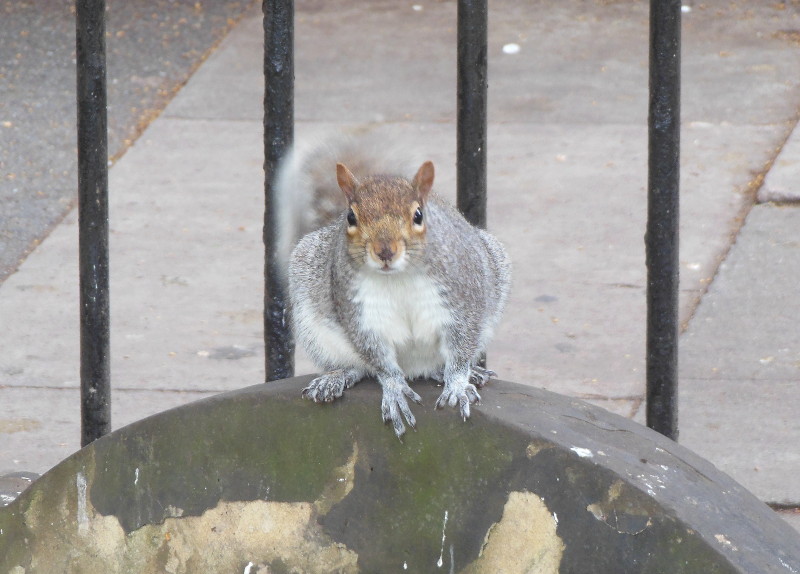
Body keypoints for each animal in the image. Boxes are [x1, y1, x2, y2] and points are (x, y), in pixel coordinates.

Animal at [276, 135, 512, 438]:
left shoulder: (462, 298)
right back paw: (337, 376)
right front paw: (394, 388)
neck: (398, 276)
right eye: (351, 218)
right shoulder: (361, 312)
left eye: (418, 215)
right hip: (313, 319)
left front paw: (459, 384)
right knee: (360, 368)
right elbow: (379, 358)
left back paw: (460, 372)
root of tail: (415, 368)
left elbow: (461, 346)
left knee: (436, 366)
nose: (384, 251)